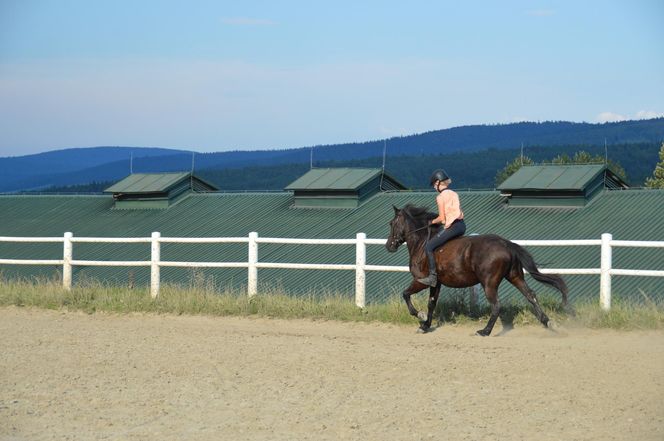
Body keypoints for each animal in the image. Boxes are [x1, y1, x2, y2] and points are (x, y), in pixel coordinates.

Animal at [386, 205, 568, 336]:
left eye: (392, 223)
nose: (389, 246)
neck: (422, 244)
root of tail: (506, 244)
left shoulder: (422, 281)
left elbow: (406, 294)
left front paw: (420, 316)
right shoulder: (436, 284)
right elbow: (431, 304)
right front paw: (425, 326)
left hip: (489, 283)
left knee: (496, 305)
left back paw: (485, 331)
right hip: (515, 276)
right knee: (531, 295)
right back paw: (548, 322)